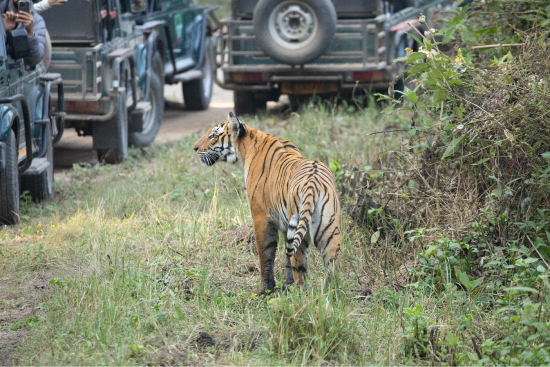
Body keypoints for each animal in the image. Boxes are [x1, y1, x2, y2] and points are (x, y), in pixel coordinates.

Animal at [193, 113, 340, 294]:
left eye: (212, 135)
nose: (194, 148)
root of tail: (313, 183)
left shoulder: (261, 216)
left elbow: (266, 255)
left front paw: (264, 290)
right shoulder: (285, 224)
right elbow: (286, 260)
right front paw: (286, 286)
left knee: (299, 270)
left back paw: (298, 295)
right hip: (330, 232)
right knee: (332, 270)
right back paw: (331, 294)